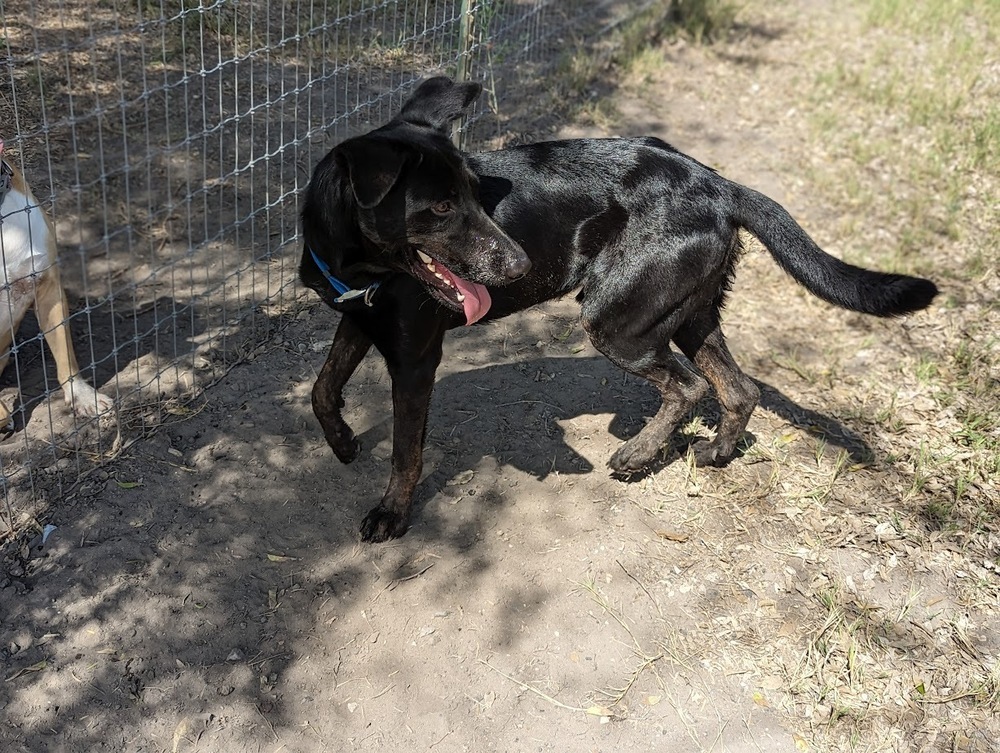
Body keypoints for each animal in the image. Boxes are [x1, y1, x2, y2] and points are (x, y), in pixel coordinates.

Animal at [298, 76, 936, 540]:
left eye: (478, 196)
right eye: (438, 208)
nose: (521, 265)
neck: (361, 269)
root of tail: (719, 184)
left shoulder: (414, 359)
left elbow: (406, 450)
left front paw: (391, 514)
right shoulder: (357, 319)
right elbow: (322, 388)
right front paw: (343, 442)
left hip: (616, 321)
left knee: (688, 387)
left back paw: (636, 455)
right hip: (686, 315)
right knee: (738, 389)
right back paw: (716, 453)